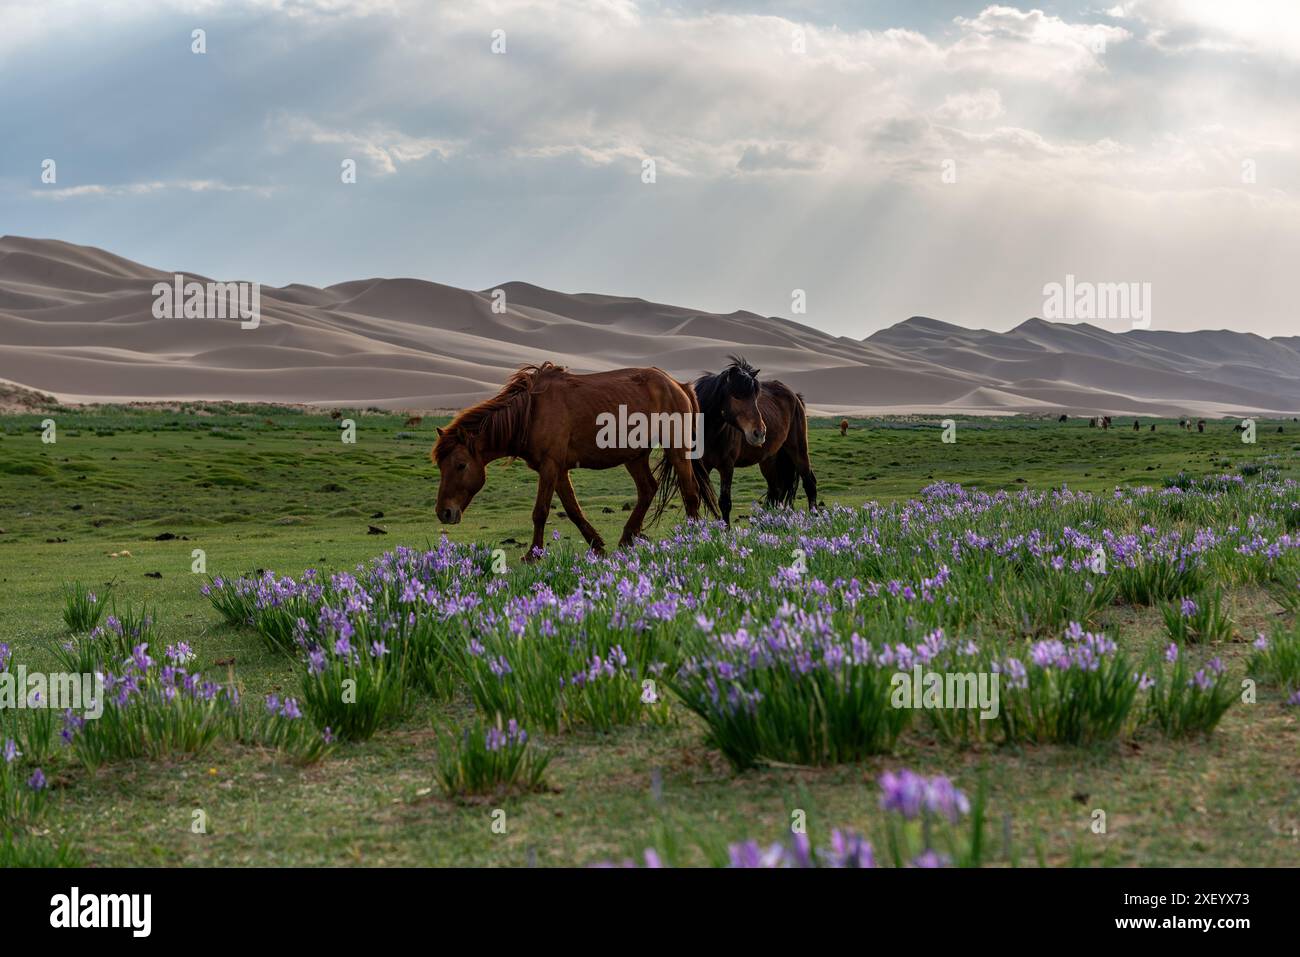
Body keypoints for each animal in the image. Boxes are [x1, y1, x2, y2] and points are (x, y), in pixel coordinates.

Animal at [436, 366, 722, 561]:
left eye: (460, 465)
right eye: (441, 466)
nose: (444, 513)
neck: (531, 412)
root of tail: (677, 385)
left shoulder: (550, 467)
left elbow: (540, 512)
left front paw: (533, 554)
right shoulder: (558, 470)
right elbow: (573, 510)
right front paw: (597, 545)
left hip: (677, 449)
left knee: (690, 492)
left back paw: (691, 539)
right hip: (635, 456)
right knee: (648, 489)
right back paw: (627, 538)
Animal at [696, 356, 816, 527]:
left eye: (755, 398)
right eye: (736, 396)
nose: (759, 433)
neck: (710, 432)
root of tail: (795, 396)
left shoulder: (727, 467)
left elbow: (725, 502)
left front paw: (726, 531)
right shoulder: (701, 467)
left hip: (798, 449)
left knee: (809, 483)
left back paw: (815, 519)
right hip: (769, 460)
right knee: (775, 490)